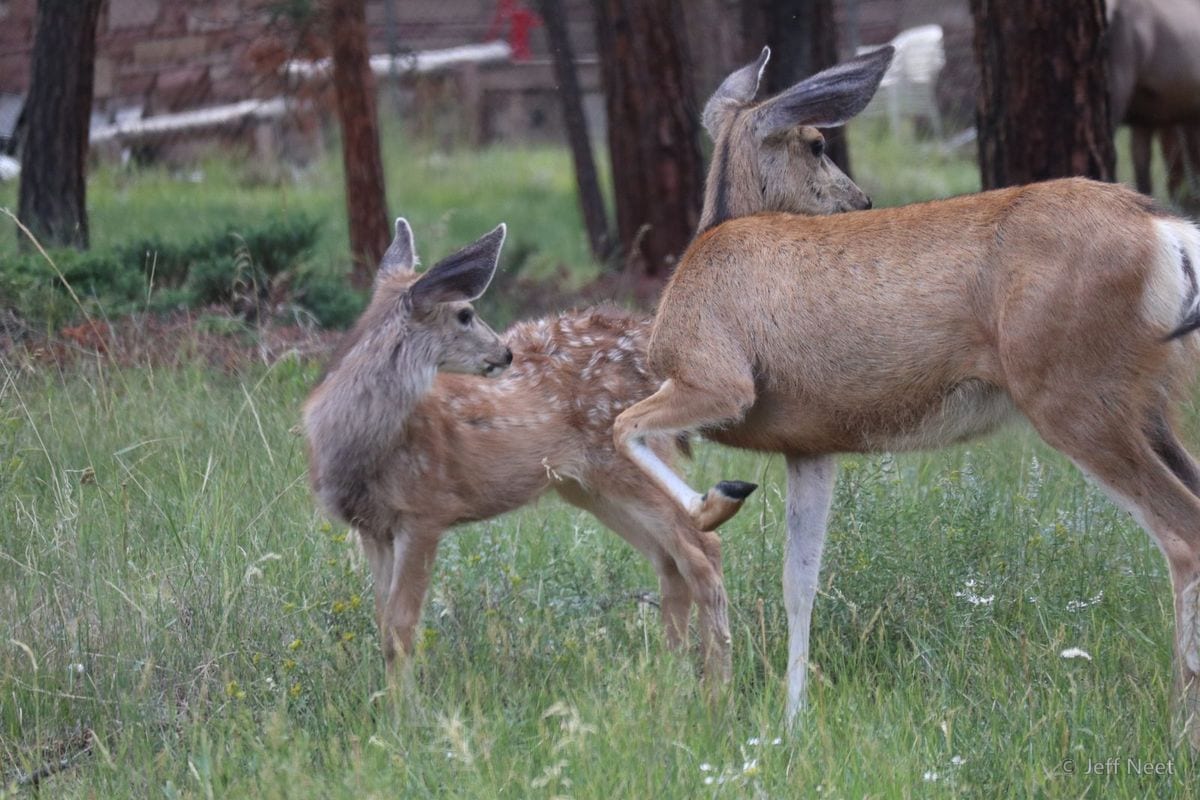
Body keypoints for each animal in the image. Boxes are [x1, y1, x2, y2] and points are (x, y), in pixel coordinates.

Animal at [302, 46, 895, 683]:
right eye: (817, 143)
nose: (862, 201)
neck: (355, 443)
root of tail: (645, 340)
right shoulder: (377, 525)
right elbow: (385, 624)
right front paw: (391, 702)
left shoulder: (423, 512)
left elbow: (398, 628)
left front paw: (404, 706)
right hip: (588, 485)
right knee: (674, 559)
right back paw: (680, 678)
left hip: (617, 472)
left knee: (697, 551)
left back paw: (709, 679)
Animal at [614, 175, 1200, 743]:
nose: (858, 200)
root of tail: (1169, 233)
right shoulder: (810, 446)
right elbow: (799, 583)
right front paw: (792, 724)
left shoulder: (717, 378)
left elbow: (623, 426)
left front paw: (718, 501)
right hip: (1150, 409)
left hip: (1071, 395)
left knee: (1181, 535)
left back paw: (1177, 727)